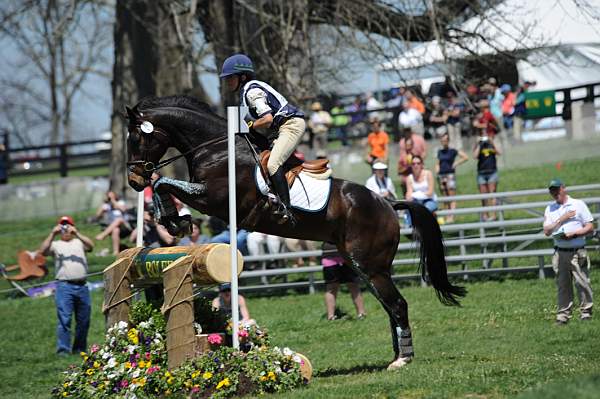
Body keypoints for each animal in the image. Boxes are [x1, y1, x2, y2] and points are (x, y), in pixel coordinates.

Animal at [124, 95, 466, 370]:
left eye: (135, 139)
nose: (133, 181)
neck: (215, 148)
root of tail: (387, 202)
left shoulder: (215, 199)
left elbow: (163, 183)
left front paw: (175, 220)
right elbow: (163, 185)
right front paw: (172, 220)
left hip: (369, 265)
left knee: (397, 305)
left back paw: (402, 359)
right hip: (365, 267)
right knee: (389, 306)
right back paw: (396, 356)